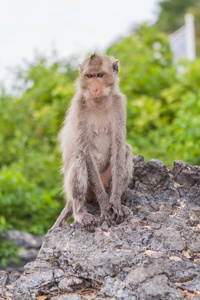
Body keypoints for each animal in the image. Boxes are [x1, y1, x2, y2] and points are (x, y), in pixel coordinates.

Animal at [50, 52, 134, 231]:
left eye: (100, 75)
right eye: (89, 76)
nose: (94, 88)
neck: (99, 102)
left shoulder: (119, 104)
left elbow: (118, 146)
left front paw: (115, 202)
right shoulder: (79, 107)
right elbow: (85, 151)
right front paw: (105, 206)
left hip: (106, 181)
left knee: (126, 149)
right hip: (88, 190)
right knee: (78, 155)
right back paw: (80, 212)